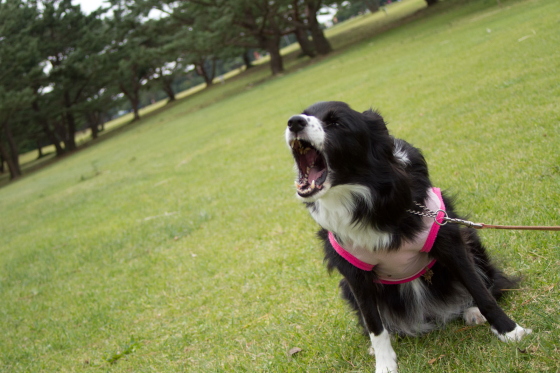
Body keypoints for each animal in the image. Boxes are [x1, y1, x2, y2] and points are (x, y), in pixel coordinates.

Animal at [286, 101, 532, 372]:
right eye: (305, 114)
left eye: (336, 123)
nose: (294, 121)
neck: (365, 201)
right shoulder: (353, 271)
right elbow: (374, 323)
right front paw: (384, 363)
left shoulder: (447, 237)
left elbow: (479, 289)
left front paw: (511, 331)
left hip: (471, 239)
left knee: (489, 283)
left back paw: (473, 311)